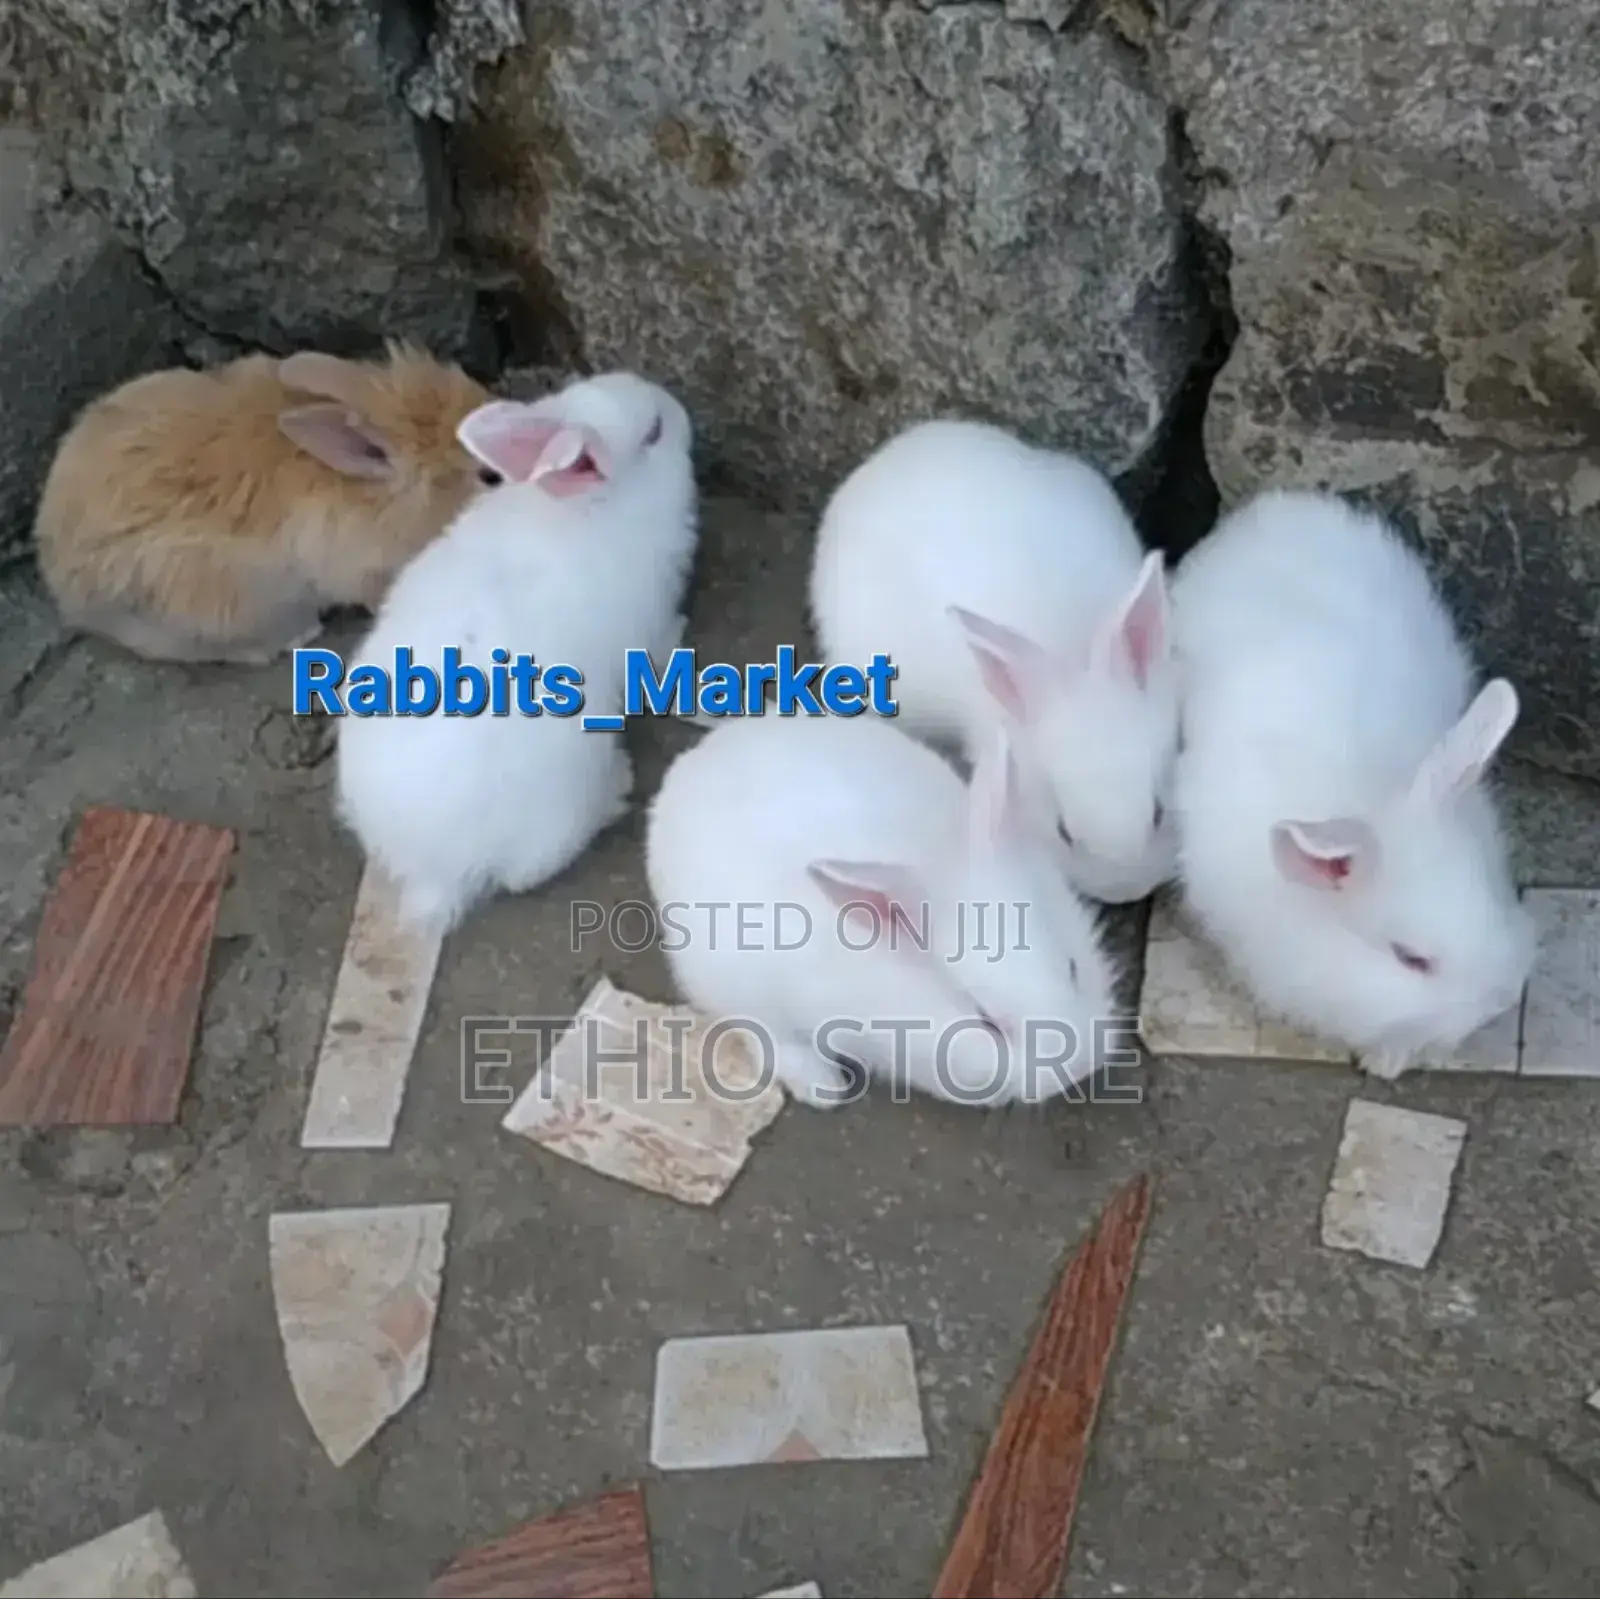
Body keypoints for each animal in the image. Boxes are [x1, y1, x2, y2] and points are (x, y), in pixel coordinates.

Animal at [334, 370, 698, 936]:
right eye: (655, 432)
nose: (680, 411)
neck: (589, 508)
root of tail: (433, 873)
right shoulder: (650, 619)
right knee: (527, 872)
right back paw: (617, 788)